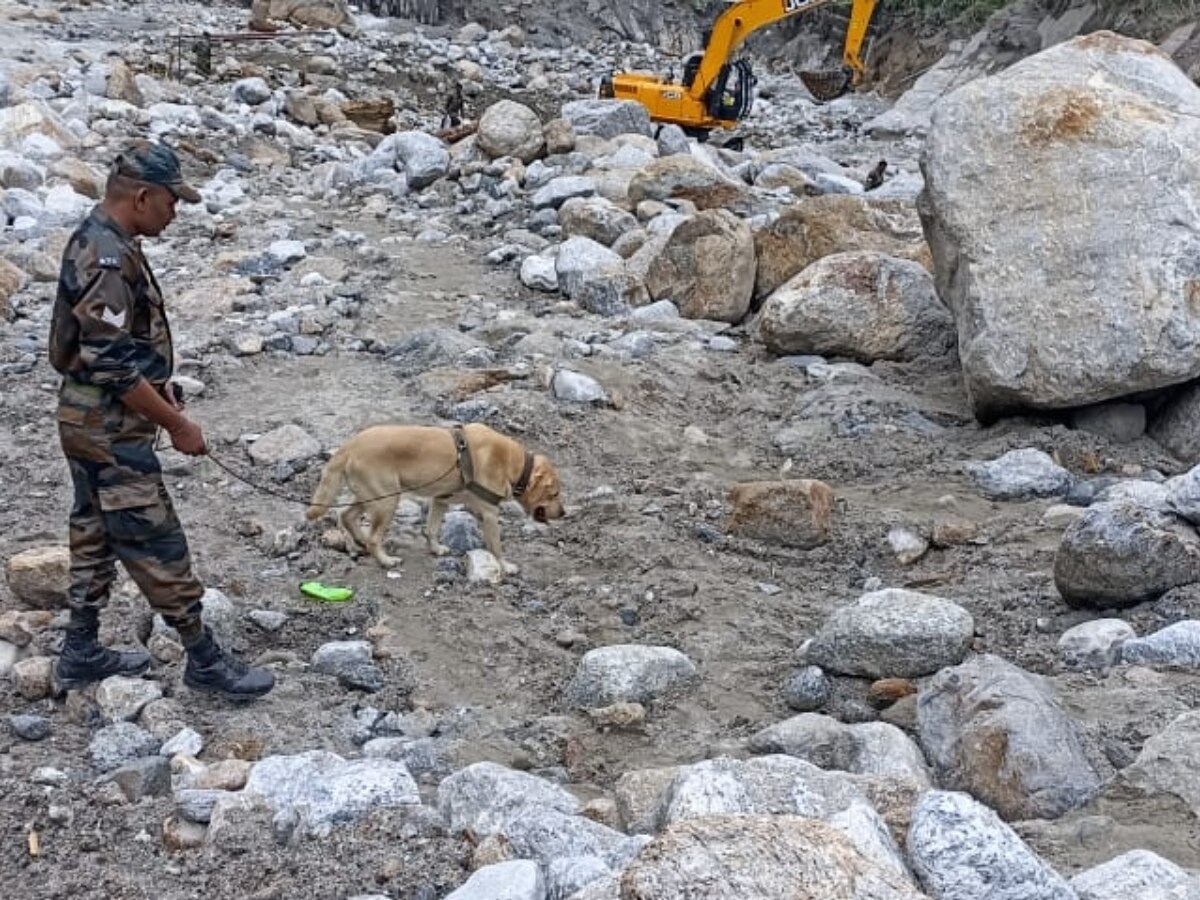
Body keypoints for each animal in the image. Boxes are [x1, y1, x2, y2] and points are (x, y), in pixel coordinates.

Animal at [302, 424, 559, 578]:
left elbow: (432, 529)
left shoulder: (441, 500)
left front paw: (435, 549)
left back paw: (360, 541)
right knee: (373, 537)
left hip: (371, 496)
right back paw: (385, 560)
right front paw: (505, 566)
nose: (564, 513)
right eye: (555, 494)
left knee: (346, 515)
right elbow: (496, 547)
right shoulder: (489, 515)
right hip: (387, 501)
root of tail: (349, 445)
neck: (515, 464)